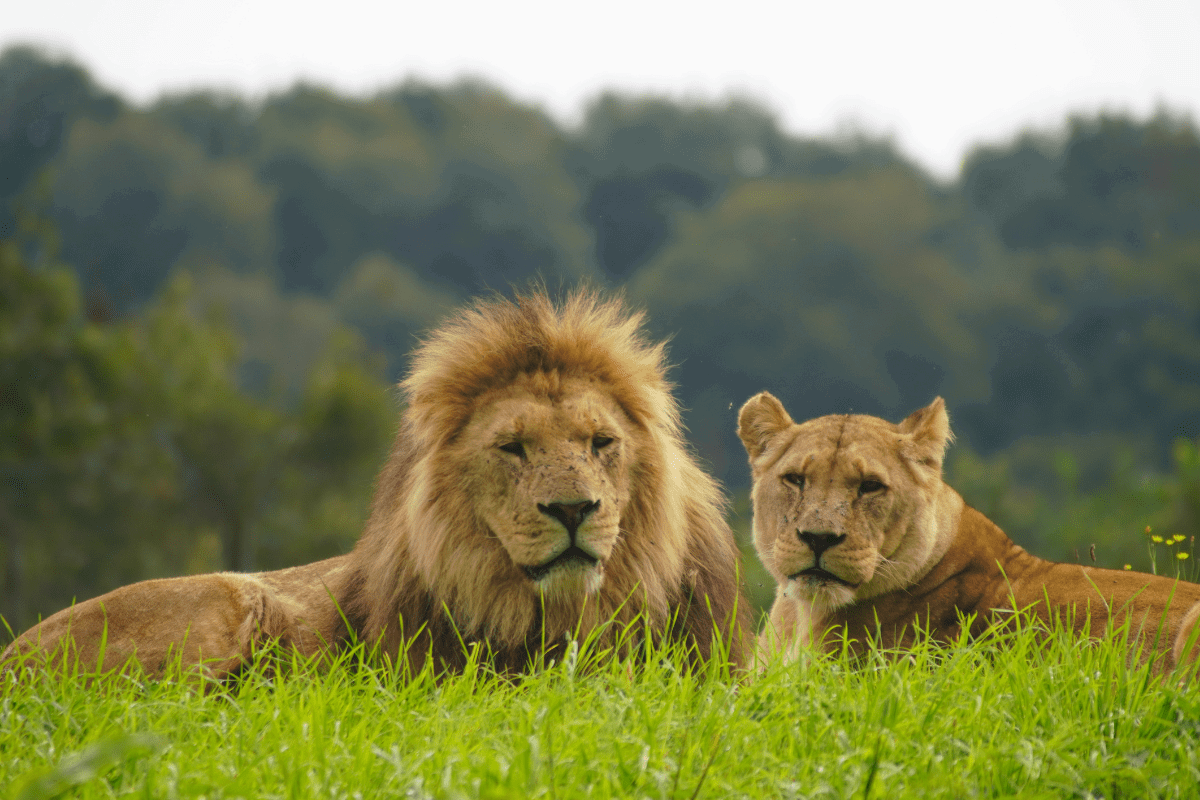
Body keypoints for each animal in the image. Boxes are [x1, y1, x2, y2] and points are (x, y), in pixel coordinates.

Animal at [3, 290, 752, 681]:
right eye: (512, 448)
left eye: (601, 443)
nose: (573, 509)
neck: (566, 613)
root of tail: (11, 657)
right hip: (229, 596)